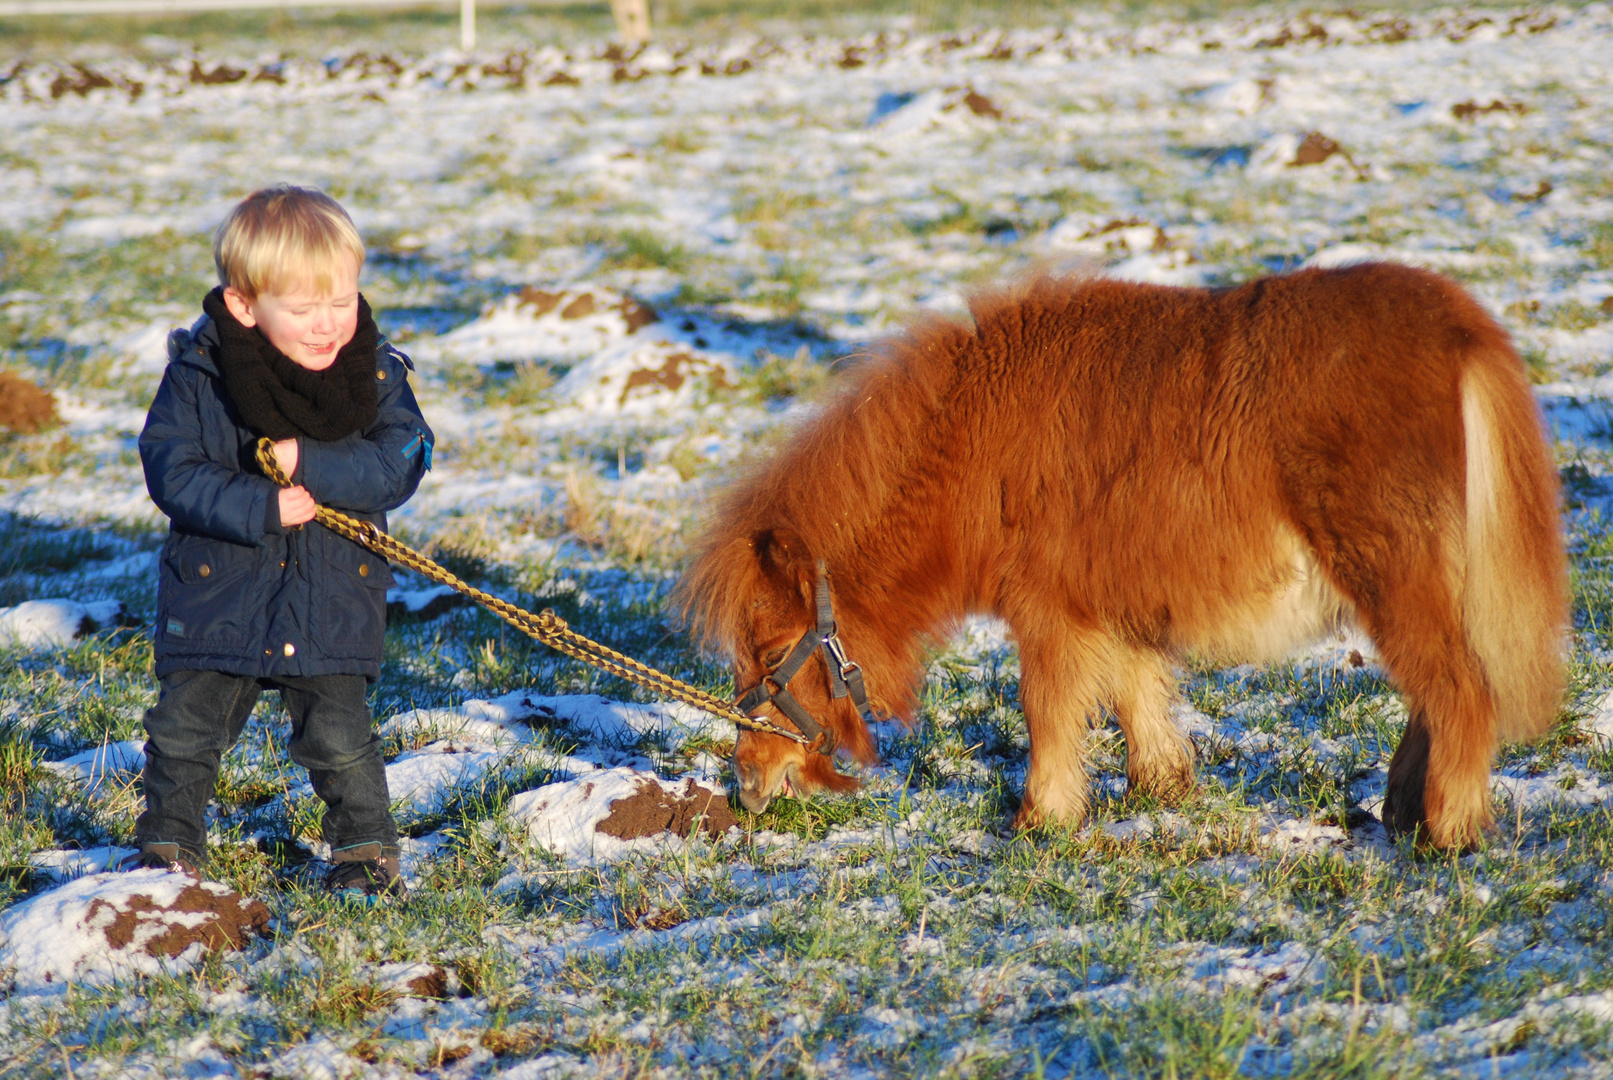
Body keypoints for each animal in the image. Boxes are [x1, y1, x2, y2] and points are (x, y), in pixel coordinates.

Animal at [674, 264, 1567, 857]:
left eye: (768, 653)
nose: (745, 784)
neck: (973, 439)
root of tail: (1460, 330)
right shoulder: (1112, 603)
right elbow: (1136, 692)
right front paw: (1159, 788)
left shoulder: (1048, 613)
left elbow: (1047, 709)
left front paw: (1039, 820)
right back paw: (1402, 811)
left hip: (1392, 578)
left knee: (1458, 690)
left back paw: (1445, 834)